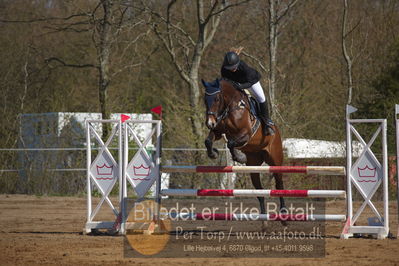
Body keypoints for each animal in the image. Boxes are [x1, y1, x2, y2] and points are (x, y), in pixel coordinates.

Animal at [202, 78, 286, 219]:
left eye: (217, 99)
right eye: (205, 99)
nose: (209, 123)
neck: (229, 109)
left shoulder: (246, 134)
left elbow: (230, 143)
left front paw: (239, 157)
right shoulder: (218, 131)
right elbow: (208, 141)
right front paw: (213, 154)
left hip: (275, 161)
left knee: (279, 184)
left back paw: (284, 213)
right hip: (254, 166)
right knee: (259, 190)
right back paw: (263, 218)